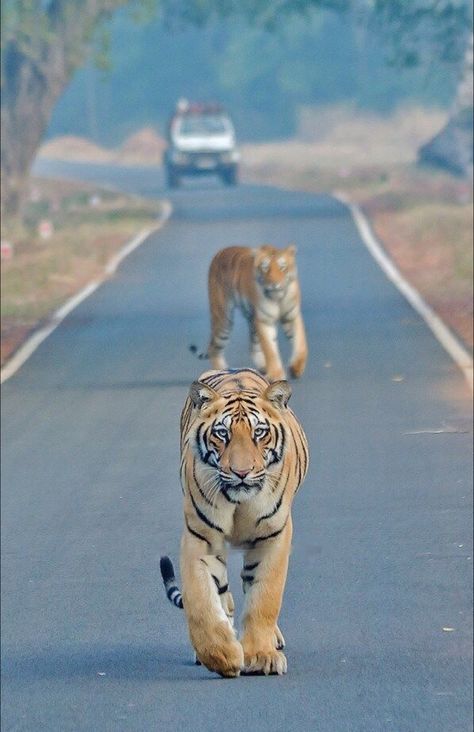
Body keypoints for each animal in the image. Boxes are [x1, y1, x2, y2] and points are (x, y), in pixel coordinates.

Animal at [159, 368, 310, 676]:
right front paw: (221, 655)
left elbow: (264, 598)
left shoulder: (273, 536)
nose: (241, 472)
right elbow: (202, 601)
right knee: (222, 594)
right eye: (222, 433)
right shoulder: (201, 537)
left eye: (259, 433)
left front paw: (262, 656)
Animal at [191, 246, 310, 384]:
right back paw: (221, 373)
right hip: (223, 319)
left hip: (251, 321)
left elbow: (301, 343)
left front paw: (296, 368)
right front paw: (276, 374)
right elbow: (270, 349)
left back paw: (262, 369)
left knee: (253, 347)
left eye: (282, 267)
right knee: (215, 349)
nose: (274, 284)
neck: (278, 298)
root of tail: (220, 252)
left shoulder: (291, 317)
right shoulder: (264, 321)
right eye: (265, 268)